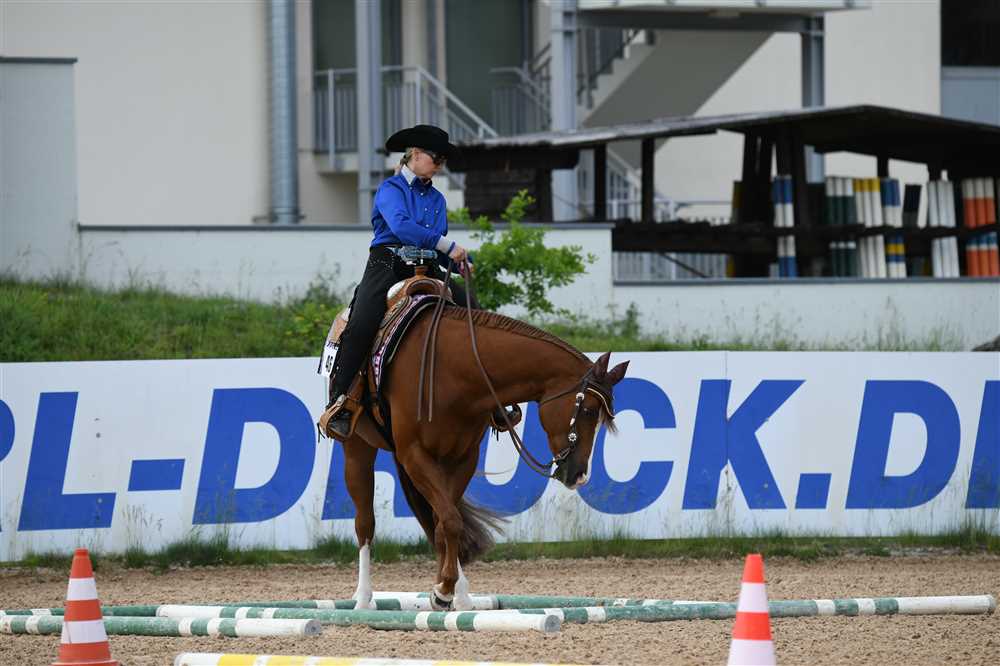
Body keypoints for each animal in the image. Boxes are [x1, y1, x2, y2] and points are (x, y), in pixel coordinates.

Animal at [339, 299, 629, 611]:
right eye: (587, 410)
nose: (580, 474)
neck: (454, 370)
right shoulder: (414, 454)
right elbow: (450, 520)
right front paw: (444, 589)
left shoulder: (463, 458)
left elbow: (446, 522)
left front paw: (447, 590)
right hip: (358, 448)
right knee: (365, 523)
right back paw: (363, 599)